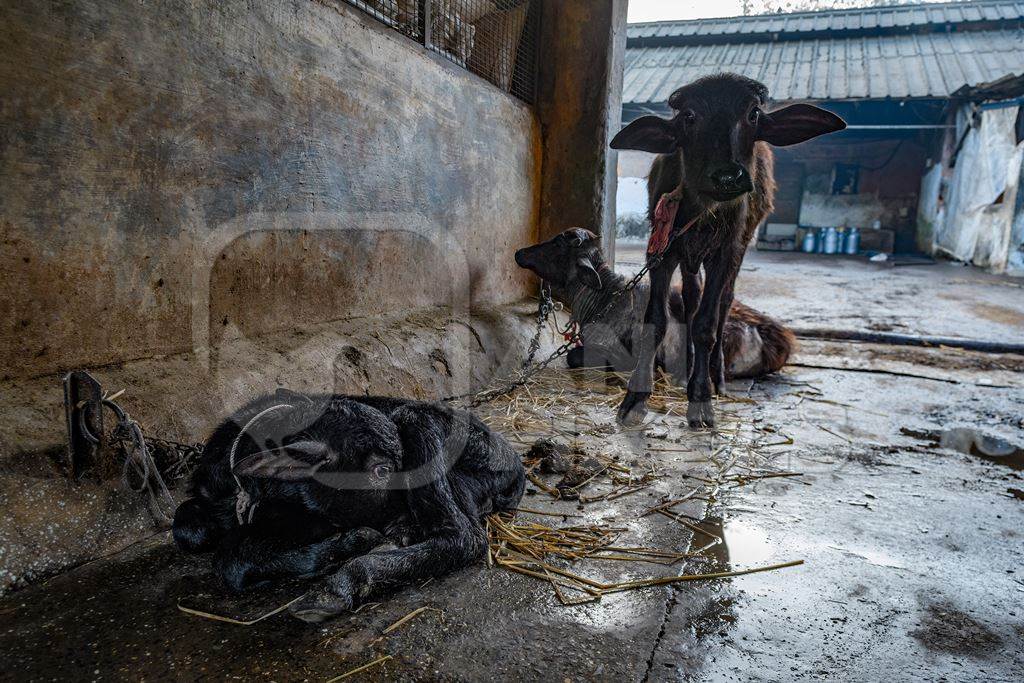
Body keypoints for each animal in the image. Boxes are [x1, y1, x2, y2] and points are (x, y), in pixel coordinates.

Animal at [172, 393, 524, 622]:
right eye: (381, 470)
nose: (404, 521)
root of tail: (513, 461)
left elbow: (229, 559)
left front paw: (359, 542)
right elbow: (192, 532)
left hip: (422, 425)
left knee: (462, 537)